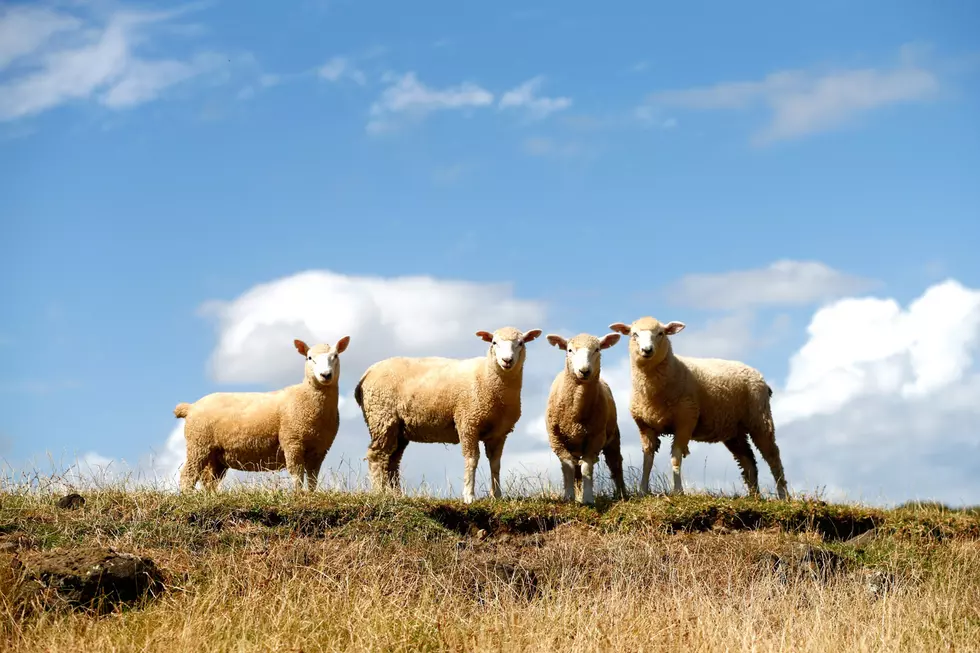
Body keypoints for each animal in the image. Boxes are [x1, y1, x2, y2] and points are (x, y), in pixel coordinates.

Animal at [173, 334, 352, 492]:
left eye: (335, 356)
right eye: (309, 358)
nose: (325, 375)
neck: (306, 397)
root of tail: (191, 407)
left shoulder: (320, 449)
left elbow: (312, 478)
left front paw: (311, 495)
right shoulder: (292, 441)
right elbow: (297, 475)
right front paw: (298, 495)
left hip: (215, 455)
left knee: (208, 480)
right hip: (198, 444)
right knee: (188, 475)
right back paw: (187, 496)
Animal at [354, 326, 544, 504]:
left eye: (521, 343)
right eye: (494, 342)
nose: (507, 361)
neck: (488, 379)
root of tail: (365, 375)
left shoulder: (499, 433)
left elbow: (495, 463)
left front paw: (496, 495)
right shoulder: (467, 422)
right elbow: (472, 459)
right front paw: (469, 496)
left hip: (398, 428)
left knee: (392, 460)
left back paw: (396, 494)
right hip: (381, 416)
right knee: (376, 455)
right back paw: (379, 493)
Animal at [544, 332, 628, 504]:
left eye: (597, 349)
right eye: (569, 350)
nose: (584, 370)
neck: (576, 414)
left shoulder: (596, 438)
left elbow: (587, 467)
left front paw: (588, 498)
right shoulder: (556, 440)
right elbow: (568, 467)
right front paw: (569, 497)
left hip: (613, 437)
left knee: (615, 464)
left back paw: (622, 494)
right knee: (576, 469)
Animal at [608, 318, 792, 500]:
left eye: (660, 333)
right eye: (634, 334)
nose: (647, 350)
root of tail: (758, 376)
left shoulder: (685, 421)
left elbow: (675, 457)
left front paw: (678, 491)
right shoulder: (645, 426)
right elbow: (647, 459)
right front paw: (642, 492)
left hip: (760, 419)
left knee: (773, 457)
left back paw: (783, 495)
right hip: (734, 430)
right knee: (748, 461)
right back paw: (754, 496)